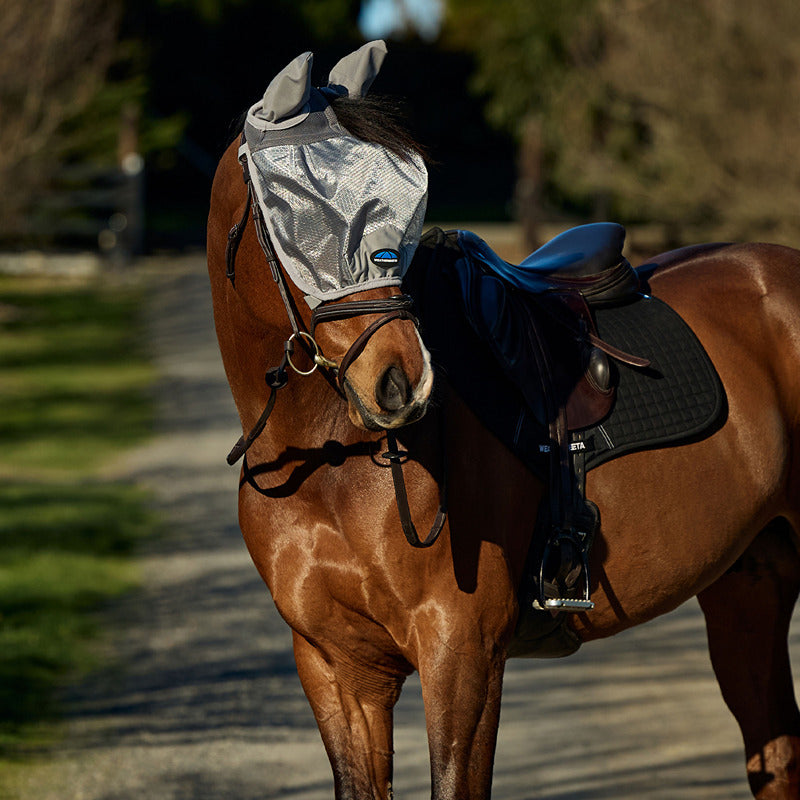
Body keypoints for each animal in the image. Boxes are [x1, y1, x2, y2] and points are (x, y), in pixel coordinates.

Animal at [207, 100, 800, 799]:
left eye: (408, 190)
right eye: (293, 206)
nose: (402, 382)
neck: (330, 462)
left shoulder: (461, 651)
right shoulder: (336, 667)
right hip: (750, 581)